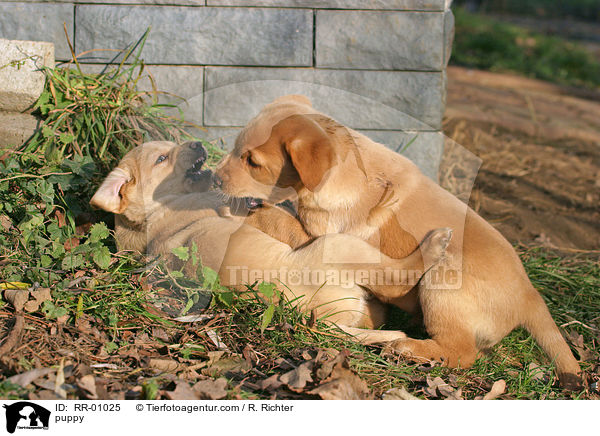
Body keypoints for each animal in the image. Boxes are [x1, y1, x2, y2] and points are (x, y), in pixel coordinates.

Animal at [91, 141, 452, 346]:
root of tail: (321, 322)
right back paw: (436, 244)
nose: (197, 142)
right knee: (398, 278)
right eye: (162, 158)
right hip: (340, 247)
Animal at [214, 95, 580, 388]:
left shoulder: (320, 233)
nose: (215, 178)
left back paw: (410, 348)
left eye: (253, 162)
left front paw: (249, 210)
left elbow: (280, 218)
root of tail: (530, 295)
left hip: (443, 282)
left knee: (461, 352)